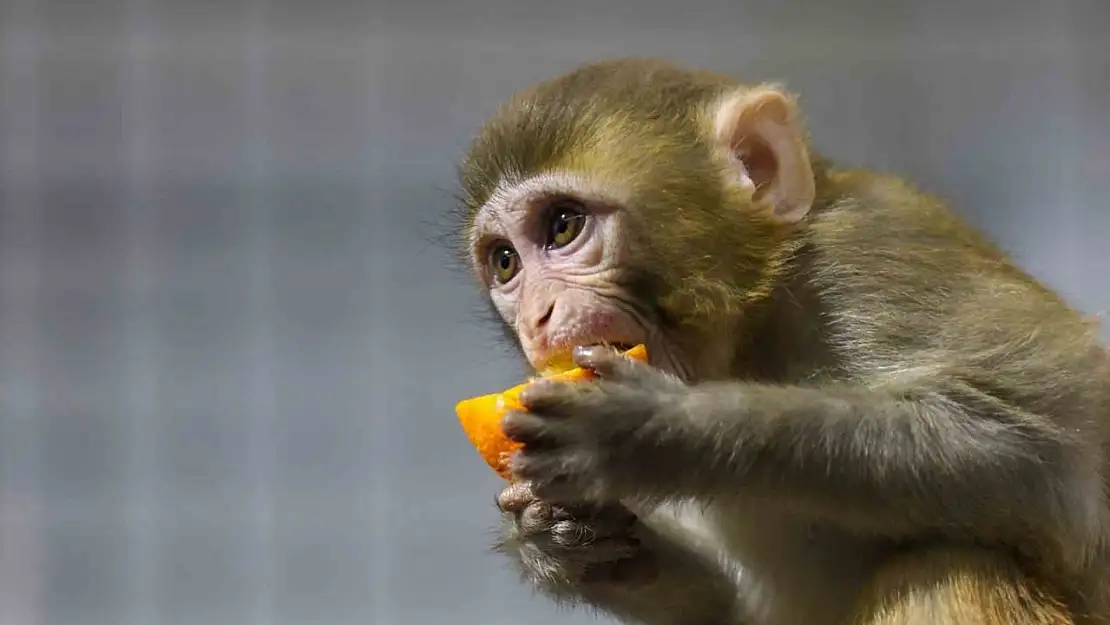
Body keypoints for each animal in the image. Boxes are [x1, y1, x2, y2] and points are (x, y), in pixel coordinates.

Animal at [448, 59, 1110, 625]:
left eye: (563, 225)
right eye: (505, 262)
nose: (537, 317)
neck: (756, 326)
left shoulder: (872, 259)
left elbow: (1049, 452)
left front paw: (656, 430)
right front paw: (559, 536)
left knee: (944, 568)